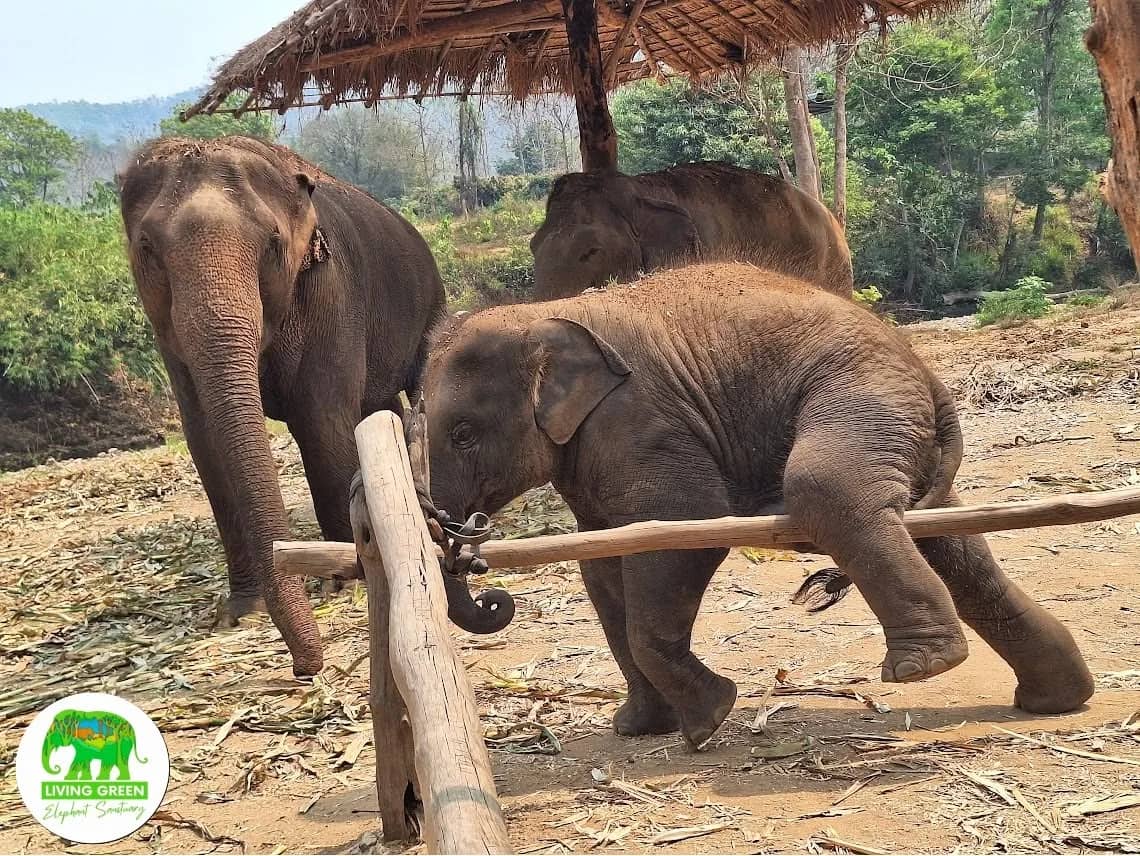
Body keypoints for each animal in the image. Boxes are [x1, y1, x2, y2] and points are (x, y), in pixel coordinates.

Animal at [119, 136, 446, 677]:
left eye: (273, 243)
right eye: (146, 248)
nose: (305, 667)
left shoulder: (332, 293)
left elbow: (321, 418)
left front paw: (342, 582)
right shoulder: (169, 339)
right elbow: (206, 441)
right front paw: (239, 613)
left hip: (429, 309)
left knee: (414, 390)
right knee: (380, 409)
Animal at [422, 263, 1093, 748]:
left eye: (463, 434)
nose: (474, 561)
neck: (543, 314)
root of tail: (925, 371)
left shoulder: (640, 424)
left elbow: (685, 524)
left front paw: (707, 722)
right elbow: (603, 567)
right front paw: (638, 729)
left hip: (866, 394)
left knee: (827, 485)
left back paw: (923, 667)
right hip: (905, 433)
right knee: (953, 547)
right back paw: (1056, 699)